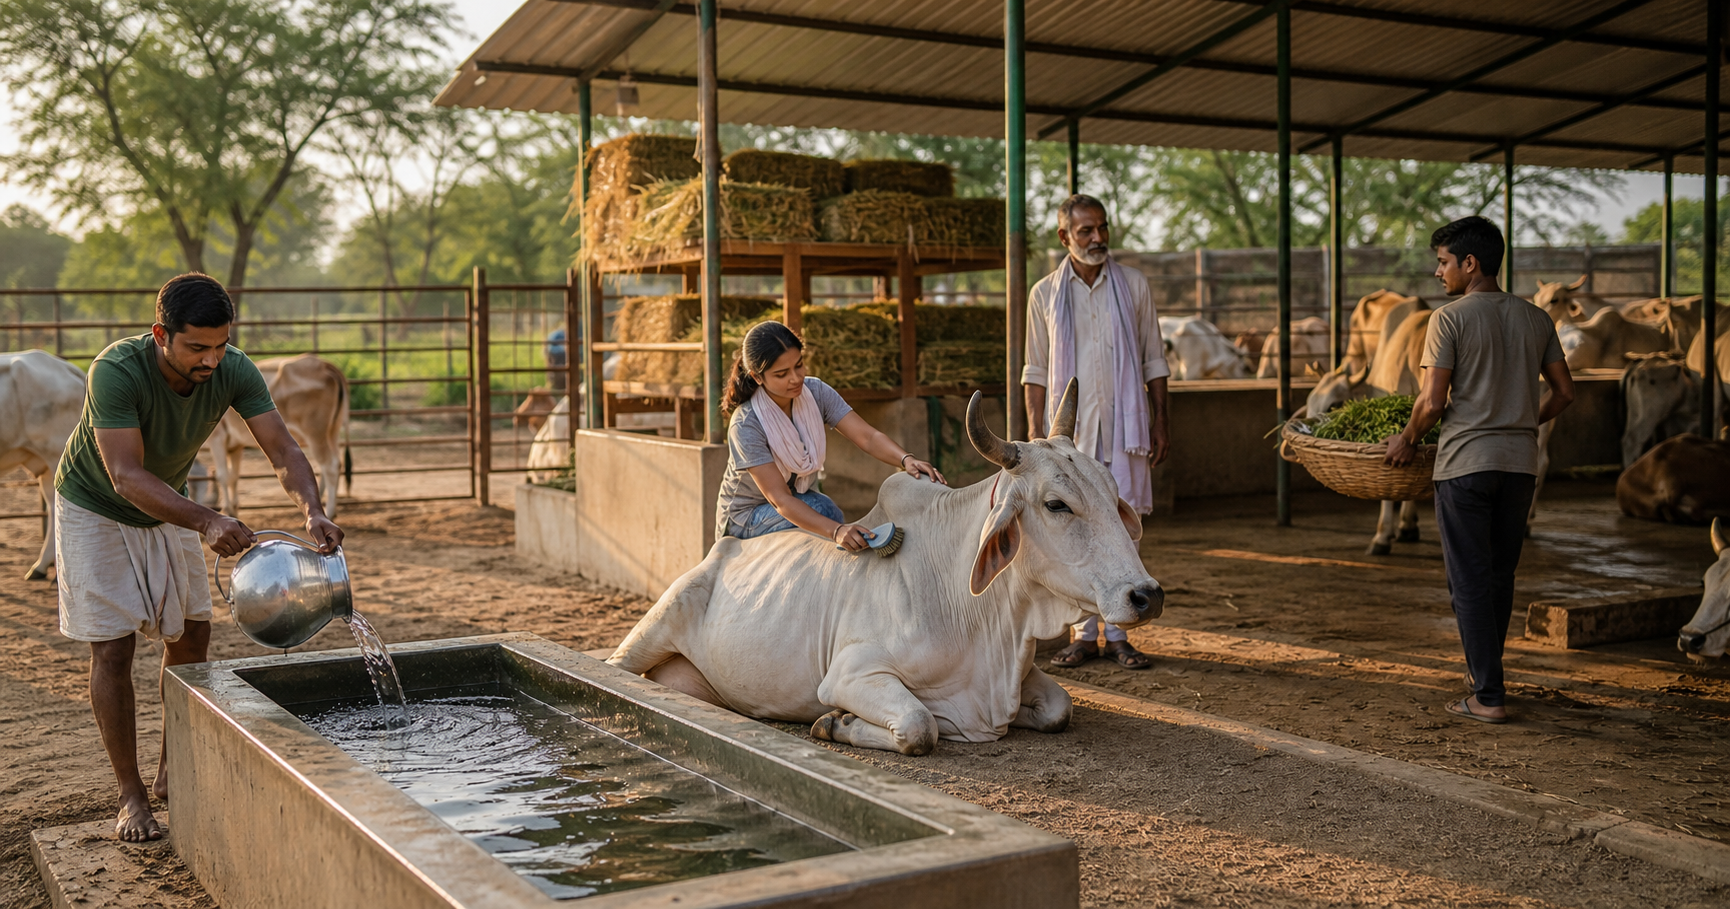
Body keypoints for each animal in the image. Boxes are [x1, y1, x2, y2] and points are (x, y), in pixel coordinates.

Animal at [207, 354, 350, 519]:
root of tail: (324, 365)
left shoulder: (217, 438)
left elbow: (223, 475)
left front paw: (227, 509)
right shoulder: (235, 446)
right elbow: (233, 477)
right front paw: (234, 509)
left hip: (316, 434)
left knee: (330, 466)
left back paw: (330, 511)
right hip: (332, 431)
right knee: (336, 462)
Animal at [608, 381, 1163, 755]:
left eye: (1112, 493)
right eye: (1056, 504)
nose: (1147, 595)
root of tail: (718, 551)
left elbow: (1059, 709)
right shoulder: (850, 675)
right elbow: (920, 726)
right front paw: (833, 723)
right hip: (656, 625)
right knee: (616, 668)